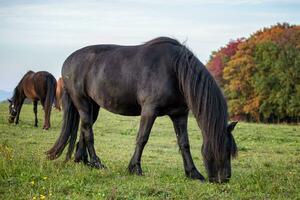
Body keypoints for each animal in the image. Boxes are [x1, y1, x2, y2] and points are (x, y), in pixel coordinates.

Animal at [47, 37, 238, 183]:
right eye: (222, 148)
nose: (225, 178)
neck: (175, 70)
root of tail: (67, 61)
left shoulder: (179, 115)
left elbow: (184, 143)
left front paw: (193, 173)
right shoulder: (149, 110)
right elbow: (142, 138)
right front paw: (135, 168)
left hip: (93, 106)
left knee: (84, 129)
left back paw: (83, 161)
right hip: (82, 102)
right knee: (88, 131)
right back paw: (97, 163)